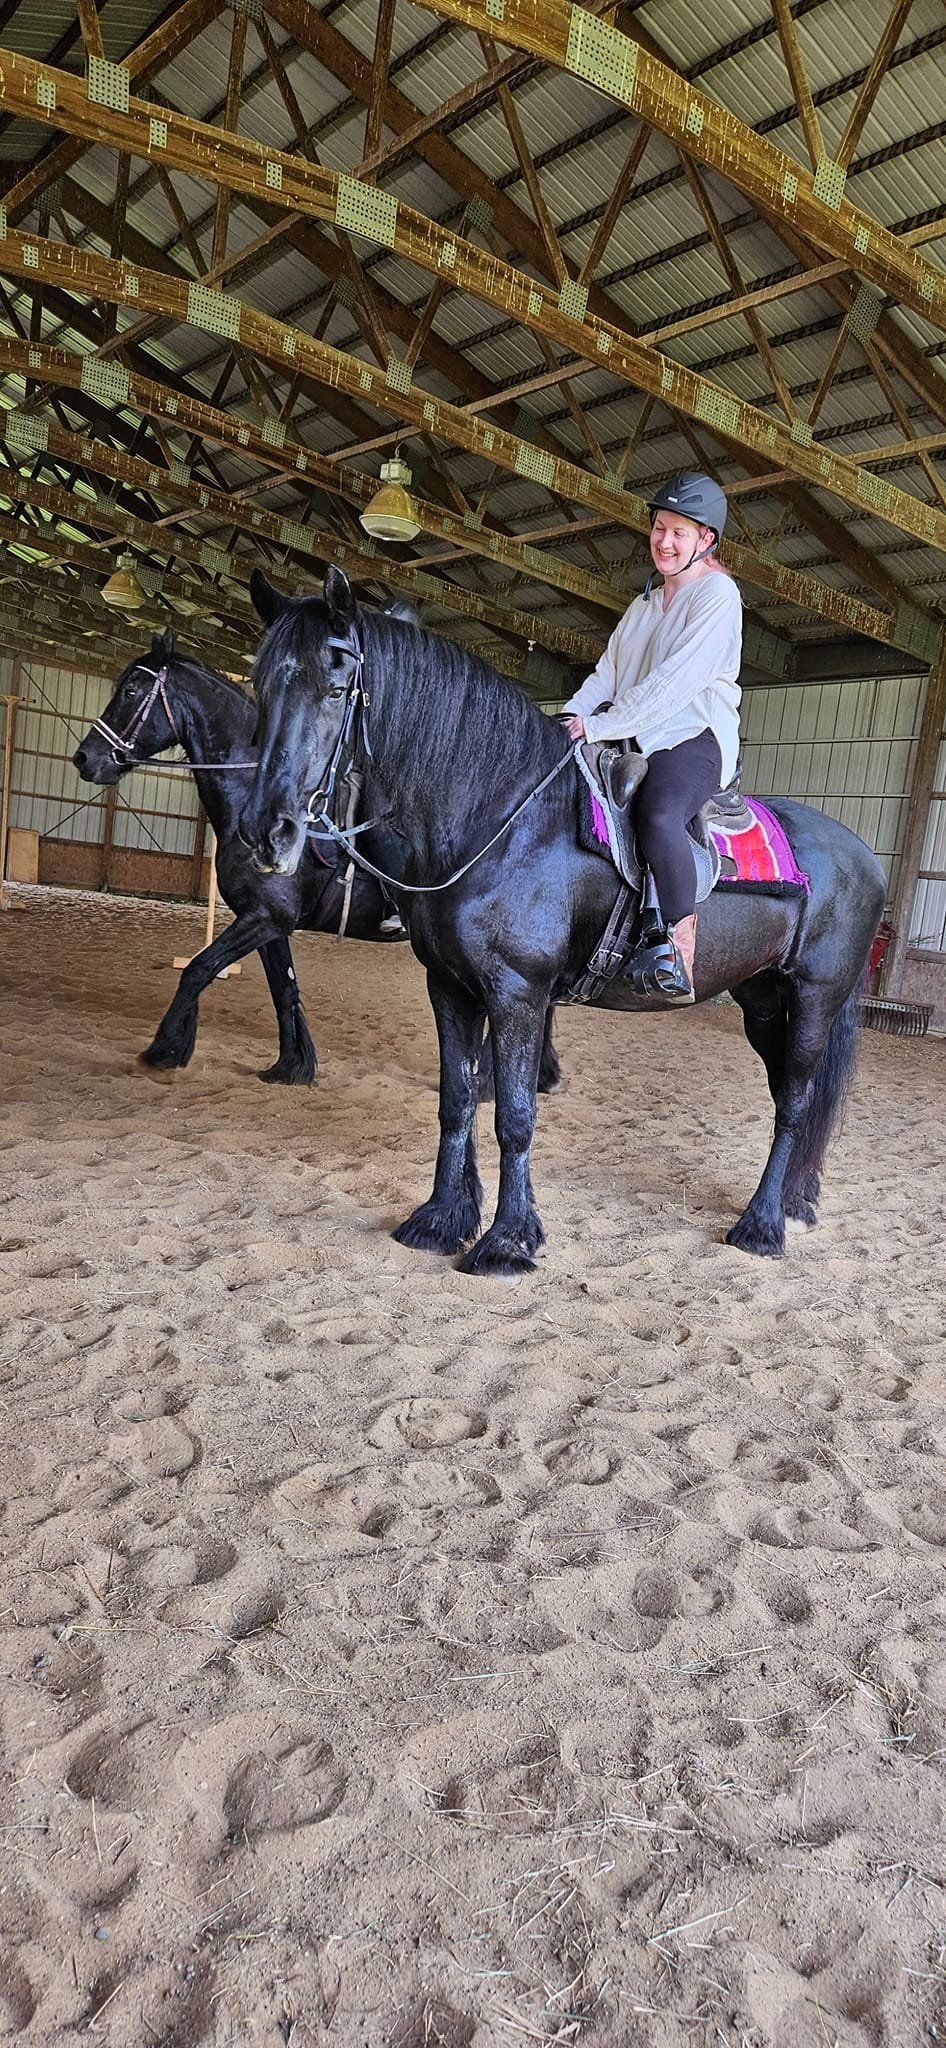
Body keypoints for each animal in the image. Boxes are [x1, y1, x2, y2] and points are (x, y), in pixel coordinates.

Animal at [73, 626, 561, 1097]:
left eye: (131, 691)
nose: (84, 758)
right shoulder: (269, 922)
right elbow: (282, 987)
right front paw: (291, 1065)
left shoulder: (264, 917)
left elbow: (198, 970)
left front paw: (165, 1050)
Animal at [238, 569, 888, 1269]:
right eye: (261, 686)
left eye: (336, 690)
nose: (267, 830)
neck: (500, 818)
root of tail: (866, 858)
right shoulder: (450, 986)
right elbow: (457, 1101)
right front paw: (441, 1219)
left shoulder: (519, 991)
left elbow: (515, 1116)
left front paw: (507, 1240)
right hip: (765, 1001)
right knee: (792, 1097)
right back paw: (794, 1201)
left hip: (815, 999)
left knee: (794, 1103)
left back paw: (762, 1226)